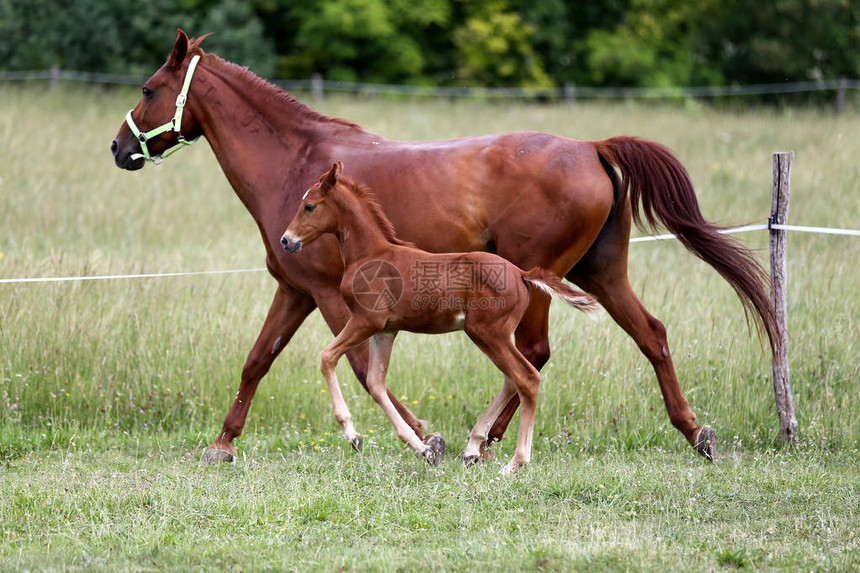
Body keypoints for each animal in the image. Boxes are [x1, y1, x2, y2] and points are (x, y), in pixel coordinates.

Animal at [282, 162, 596, 474]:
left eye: (309, 206)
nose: (287, 240)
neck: (370, 254)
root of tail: (521, 273)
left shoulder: (365, 321)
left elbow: (327, 357)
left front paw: (353, 435)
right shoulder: (385, 331)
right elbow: (375, 383)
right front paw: (424, 449)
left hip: (486, 332)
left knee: (527, 378)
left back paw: (515, 462)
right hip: (495, 335)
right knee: (512, 379)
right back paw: (473, 448)